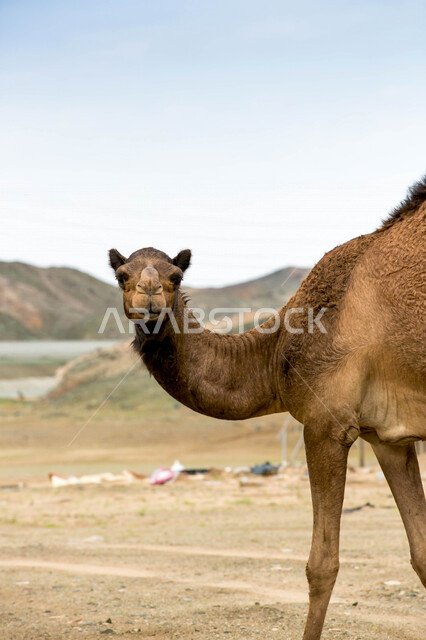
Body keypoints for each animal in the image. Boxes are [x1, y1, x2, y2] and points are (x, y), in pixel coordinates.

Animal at [109, 176, 426, 640]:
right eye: (122, 275)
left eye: (175, 274)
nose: (148, 296)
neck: (276, 350)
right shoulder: (388, 437)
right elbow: (422, 554)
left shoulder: (326, 424)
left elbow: (321, 566)